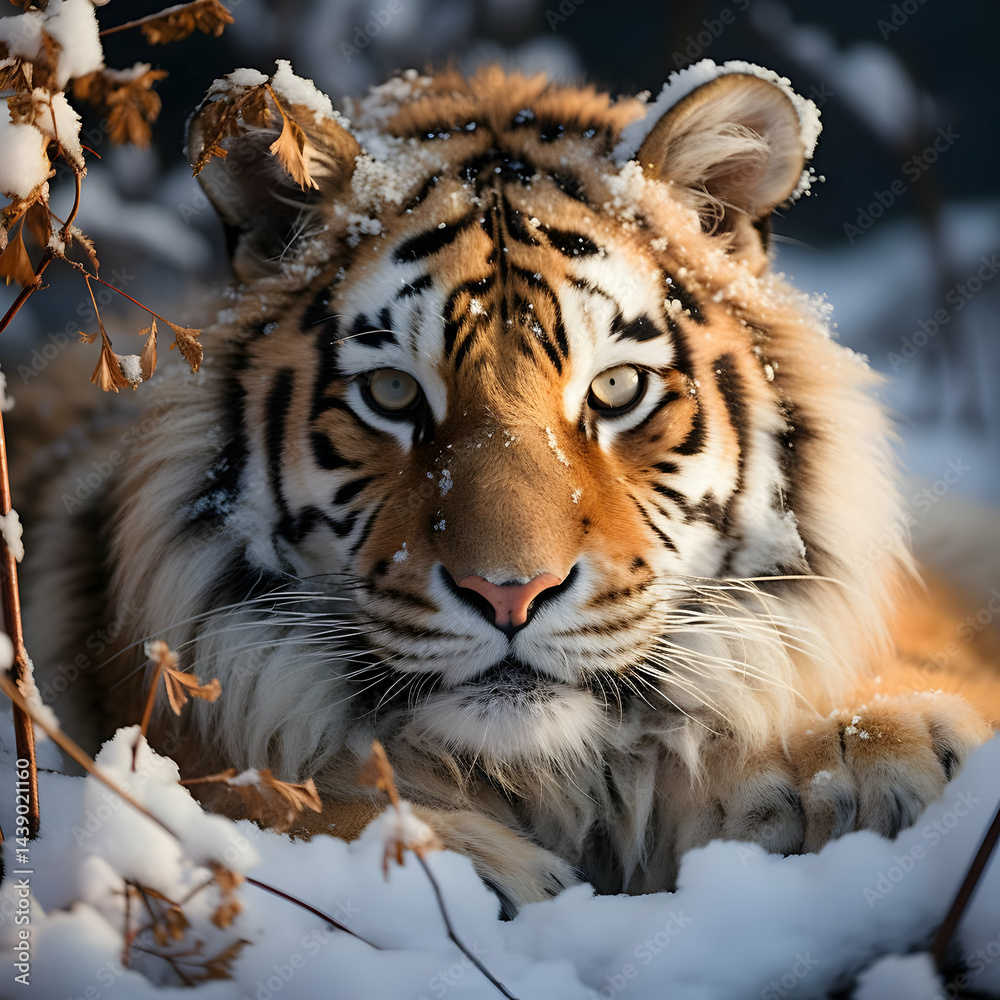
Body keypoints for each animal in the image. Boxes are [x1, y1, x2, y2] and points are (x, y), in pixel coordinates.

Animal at [23, 59, 997, 916]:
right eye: (392, 393)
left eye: (616, 388)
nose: (509, 593)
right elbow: (217, 794)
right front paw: (463, 866)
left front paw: (876, 752)